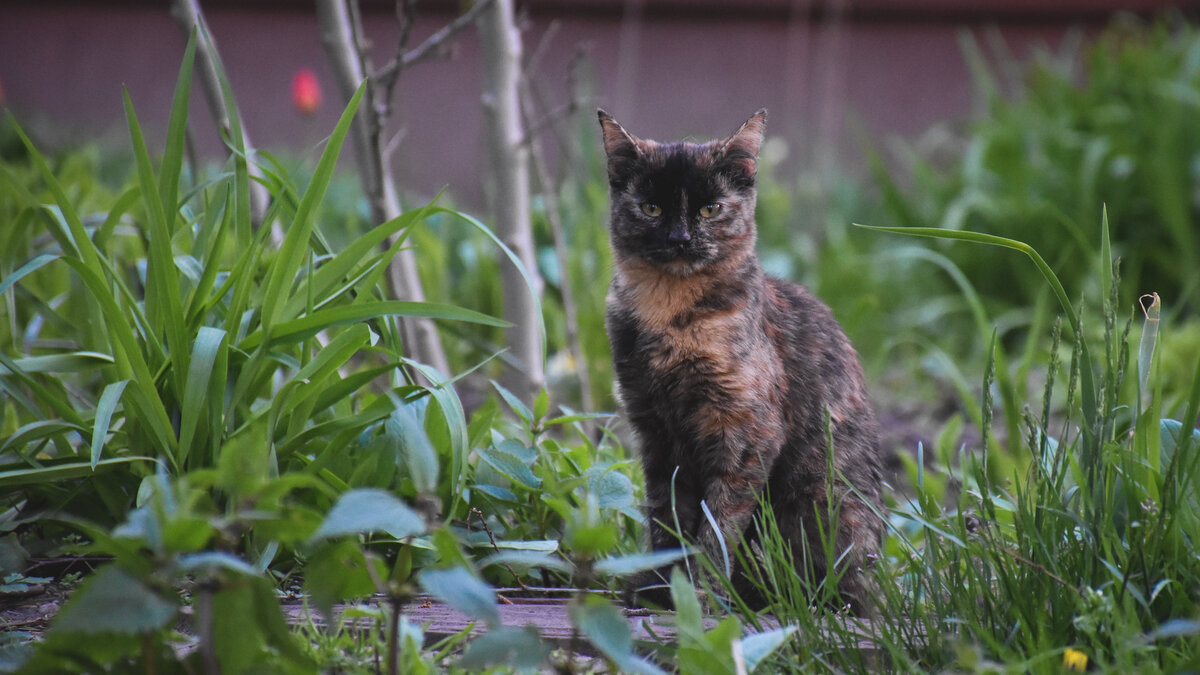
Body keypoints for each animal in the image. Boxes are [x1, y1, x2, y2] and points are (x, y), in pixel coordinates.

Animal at [597, 106, 883, 610]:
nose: (680, 238)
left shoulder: (746, 433)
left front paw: (699, 594)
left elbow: (717, 527)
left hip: (820, 504)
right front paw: (659, 588)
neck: (670, 315)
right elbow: (666, 519)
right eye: (652, 207)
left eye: (710, 208)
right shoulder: (655, 432)